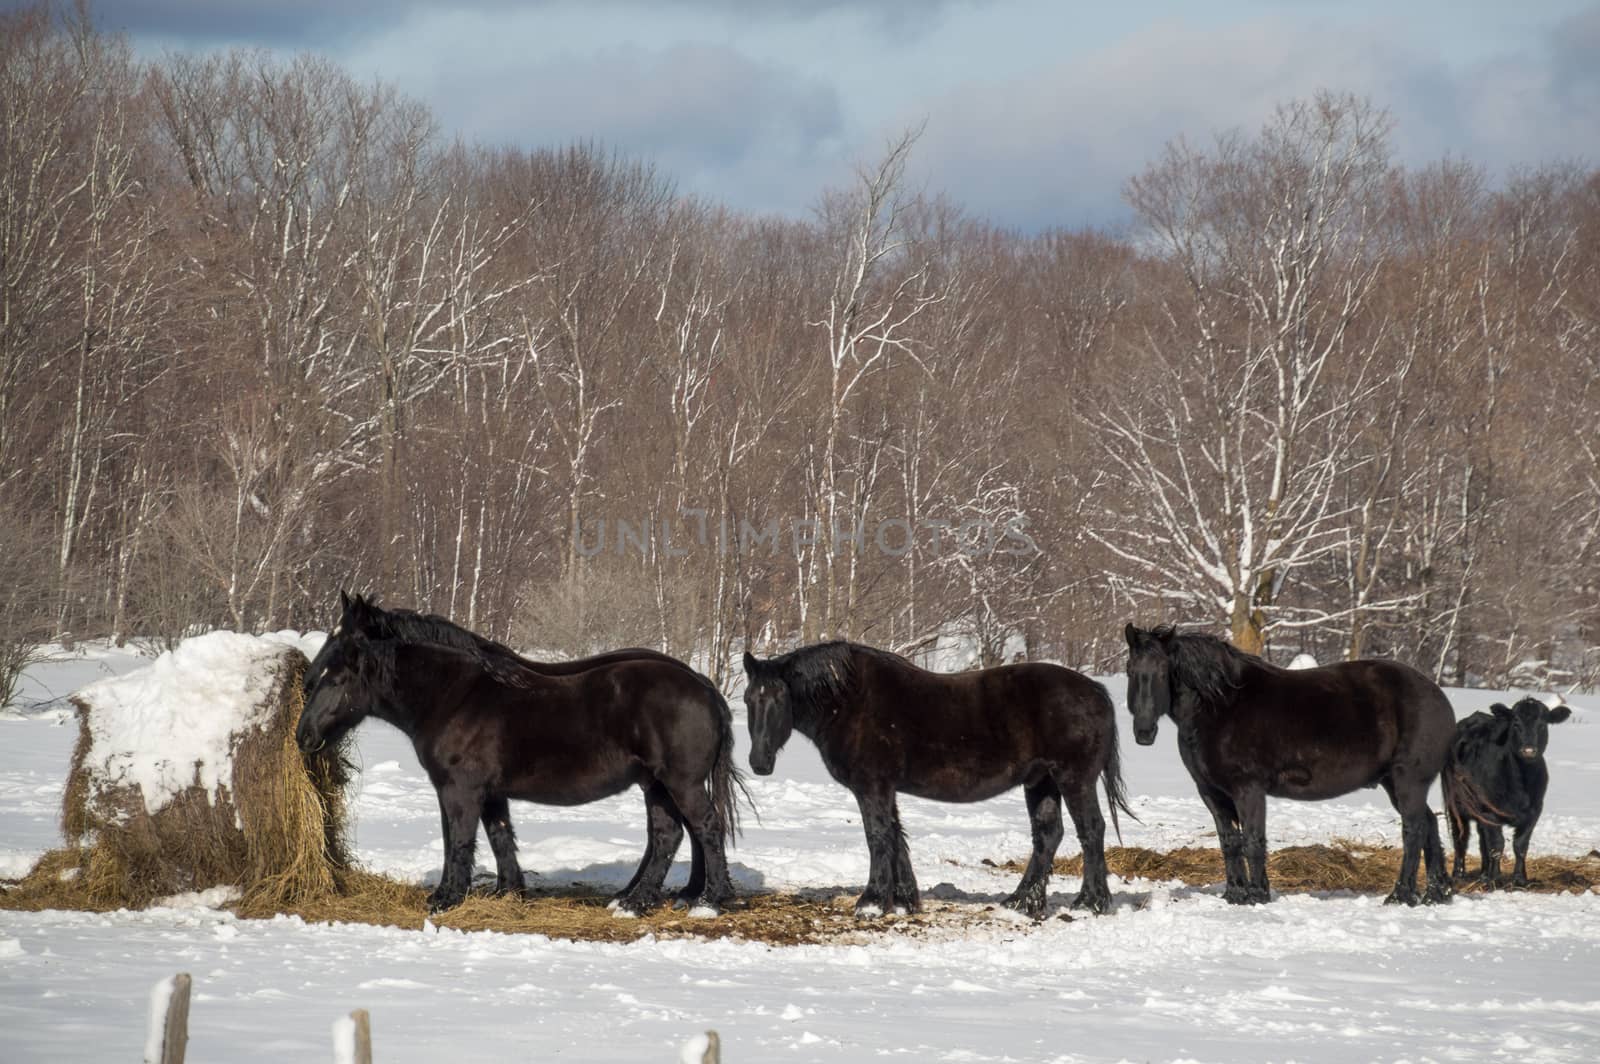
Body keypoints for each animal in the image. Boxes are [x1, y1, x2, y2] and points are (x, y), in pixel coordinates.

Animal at [297, 588, 745, 915]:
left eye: (338, 674)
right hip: (656, 784)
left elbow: (457, 839)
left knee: (705, 827)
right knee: (668, 834)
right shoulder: (491, 792)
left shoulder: (458, 789)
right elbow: (499, 837)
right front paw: (508, 891)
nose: (304, 736)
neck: (455, 694)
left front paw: (446, 898)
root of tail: (703, 685)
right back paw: (638, 901)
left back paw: (710, 901)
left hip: (680, 781)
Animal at [742, 640, 1132, 921]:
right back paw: (1021, 902)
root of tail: (1097, 692)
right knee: (1048, 835)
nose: (759, 762)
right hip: (1041, 782)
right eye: (749, 699)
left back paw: (1090, 903)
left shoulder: (871, 786)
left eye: (779, 698)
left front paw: (871, 903)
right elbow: (895, 836)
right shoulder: (886, 788)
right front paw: (902, 900)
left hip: (1074, 778)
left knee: (1091, 830)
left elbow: (877, 836)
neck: (848, 701)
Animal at [1120, 624, 1459, 902]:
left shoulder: (1248, 790)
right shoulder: (1212, 793)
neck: (1220, 706)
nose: (1144, 732)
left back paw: (1401, 895)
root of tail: (1437, 696)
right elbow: (1230, 842)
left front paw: (1256, 895)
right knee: (1428, 824)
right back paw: (1434, 893)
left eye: (1163, 671)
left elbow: (1253, 840)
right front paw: (1234, 894)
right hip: (1396, 784)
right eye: (1131, 670)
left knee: (1413, 830)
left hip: (1408, 781)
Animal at [1440, 697, 1574, 889]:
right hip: (1455, 804)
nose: (1528, 750)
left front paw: (1520, 879)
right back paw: (1459, 874)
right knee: (1461, 837)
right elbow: (1497, 845)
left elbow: (1520, 845)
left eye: (1542, 725)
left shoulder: (1534, 811)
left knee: (1482, 841)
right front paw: (1495, 879)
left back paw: (1483, 874)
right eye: (1516, 724)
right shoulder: (1490, 812)